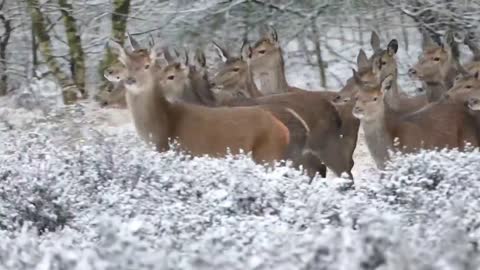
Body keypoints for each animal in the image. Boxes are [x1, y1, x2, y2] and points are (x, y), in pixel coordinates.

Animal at [107, 39, 290, 165]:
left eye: (146, 65)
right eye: (125, 64)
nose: (130, 80)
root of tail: (283, 130)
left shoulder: (186, 152)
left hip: (267, 156)